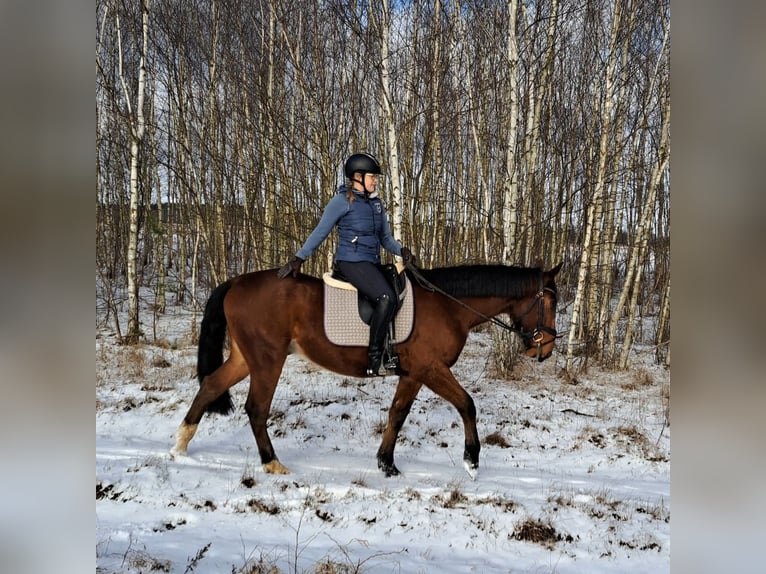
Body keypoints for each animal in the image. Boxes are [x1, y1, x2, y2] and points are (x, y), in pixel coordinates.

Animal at [171, 262, 562, 478]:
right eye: (551, 300)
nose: (545, 349)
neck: (449, 306)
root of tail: (236, 283)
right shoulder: (430, 369)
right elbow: (467, 404)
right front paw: (471, 460)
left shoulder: (412, 374)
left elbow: (397, 415)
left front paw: (386, 463)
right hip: (267, 359)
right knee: (256, 409)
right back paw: (271, 463)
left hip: (244, 358)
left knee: (210, 386)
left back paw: (180, 446)